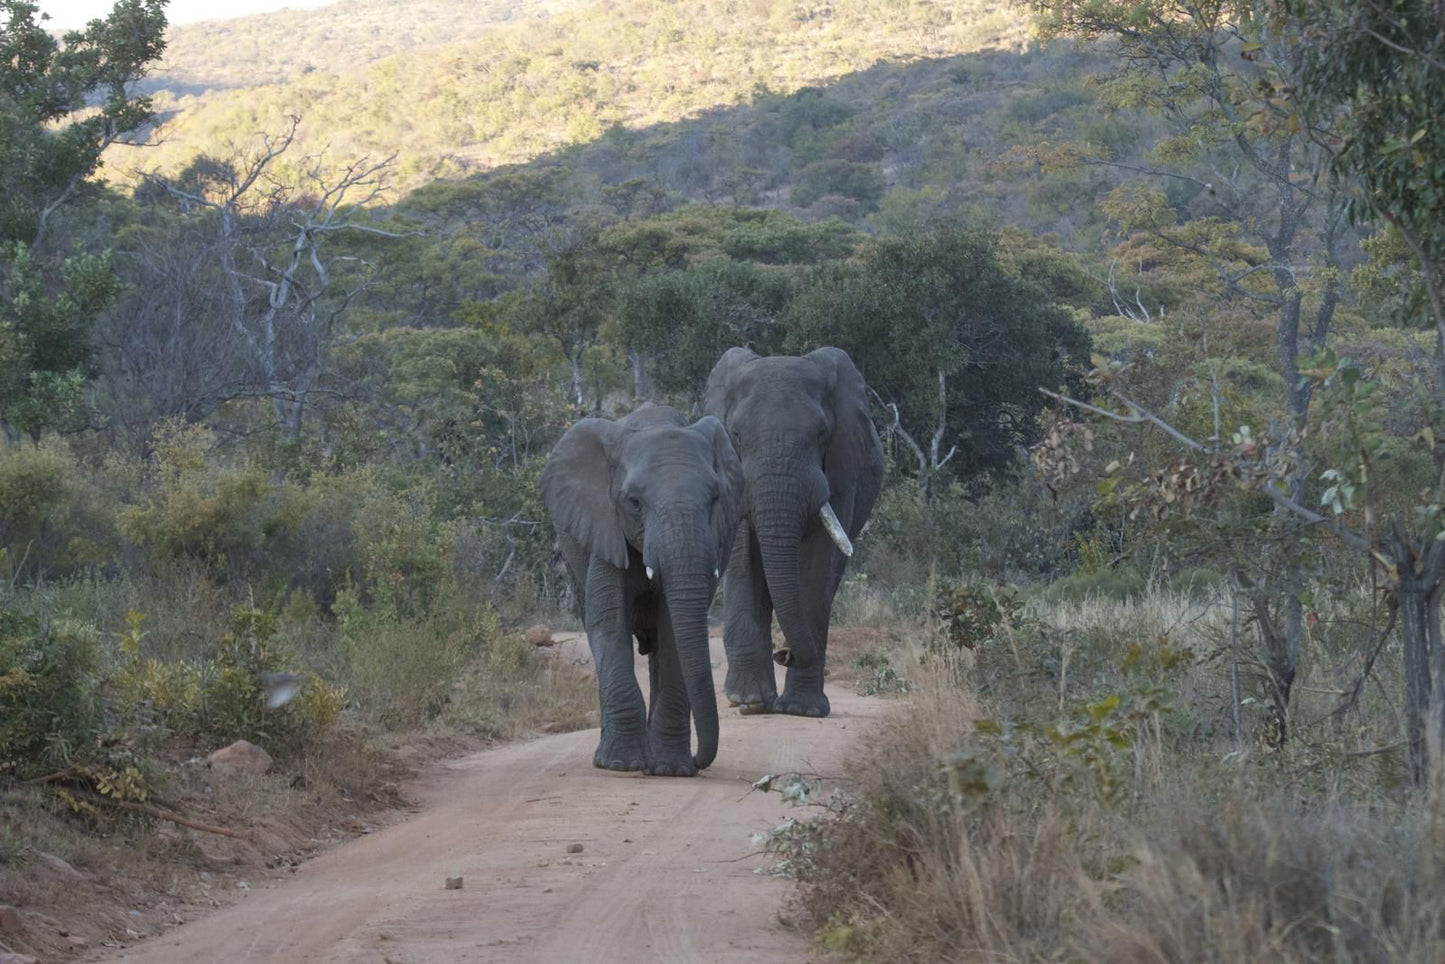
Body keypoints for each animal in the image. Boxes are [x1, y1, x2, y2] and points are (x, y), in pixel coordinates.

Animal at [543, 401, 745, 774]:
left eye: (714, 498)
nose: (699, 760)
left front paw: (671, 770)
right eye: (634, 502)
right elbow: (609, 623)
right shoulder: (605, 528)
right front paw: (621, 764)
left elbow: (673, 632)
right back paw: (608, 757)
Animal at [699, 346, 878, 716]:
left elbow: (817, 565)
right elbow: (742, 558)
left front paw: (801, 710)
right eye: (736, 434)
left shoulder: (841, 469)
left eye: (822, 433)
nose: (784, 654)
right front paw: (750, 703)